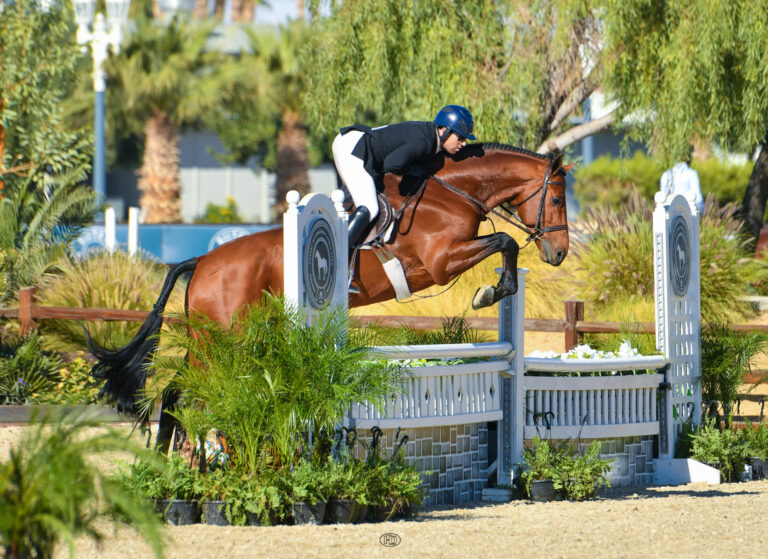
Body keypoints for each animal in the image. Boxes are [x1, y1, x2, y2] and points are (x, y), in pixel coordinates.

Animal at [88, 144, 568, 450]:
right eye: (559, 199)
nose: (559, 253)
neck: (451, 193)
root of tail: (201, 262)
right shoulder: (441, 261)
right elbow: (506, 240)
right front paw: (490, 292)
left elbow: (504, 243)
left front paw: (496, 288)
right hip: (222, 341)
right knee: (182, 392)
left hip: (218, 341)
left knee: (174, 392)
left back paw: (165, 462)